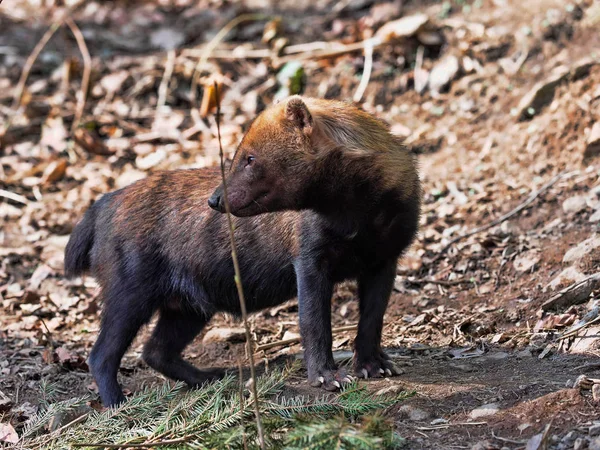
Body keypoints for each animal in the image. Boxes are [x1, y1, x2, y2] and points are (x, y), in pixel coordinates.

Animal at [64, 96, 422, 406]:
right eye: (237, 154)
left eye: (250, 158)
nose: (214, 199)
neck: (358, 217)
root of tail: (104, 202)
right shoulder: (309, 261)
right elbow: (314, 323)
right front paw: (327, 376)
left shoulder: (384, 260)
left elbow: (372, 319)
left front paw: (374, 366)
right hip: (129, 295)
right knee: (102, 355)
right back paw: (118, 404)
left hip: (187, 307)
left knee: (155, 351)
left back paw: (208, 377)